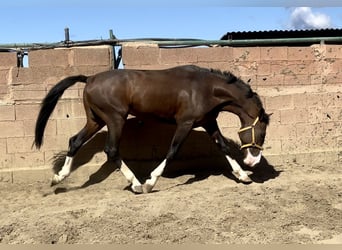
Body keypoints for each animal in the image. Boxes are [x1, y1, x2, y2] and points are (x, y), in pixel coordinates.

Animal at [35, 65, 270, 193]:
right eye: (262, 132)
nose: (253, 161)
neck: (205, 88)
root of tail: (90, 78)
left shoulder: (208, 122)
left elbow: (223, 147)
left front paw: (243, 176)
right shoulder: (185, 123)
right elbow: (173, 151)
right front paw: (150, 182)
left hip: (96, 120)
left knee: (74, 141)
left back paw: (58, 177)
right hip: (115, 119)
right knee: (111, 150)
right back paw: (136, 184)